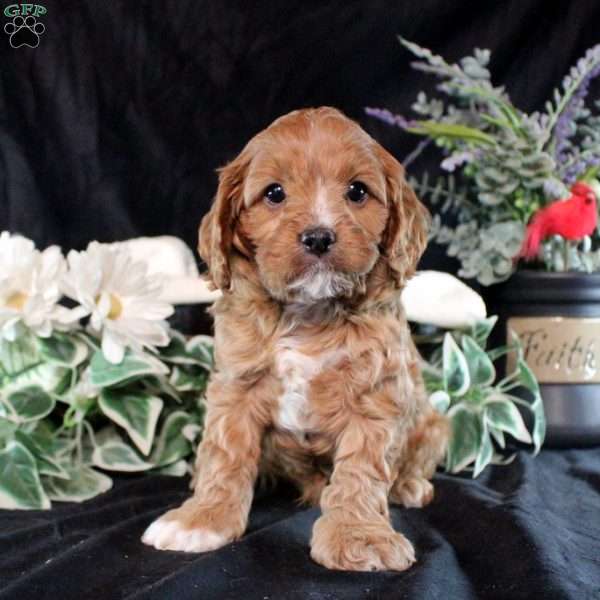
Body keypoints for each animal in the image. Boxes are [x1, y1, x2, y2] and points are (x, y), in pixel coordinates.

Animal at [143, 108, 448, 572]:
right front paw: (202, 519)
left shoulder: (376, 396)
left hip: (434, 425)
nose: (319, 236)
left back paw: (409, 486)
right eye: (275, 193)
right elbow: (224, 455)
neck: (309, 312)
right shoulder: (236, 387)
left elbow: (361, 471)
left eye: (357, 191)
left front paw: (358, 536)